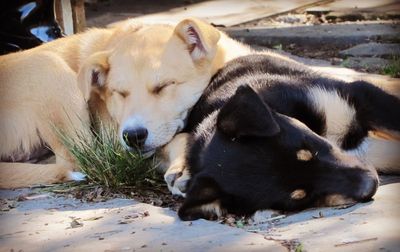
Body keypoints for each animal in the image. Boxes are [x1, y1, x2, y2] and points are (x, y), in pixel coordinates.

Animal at [0, 17, 250, 188]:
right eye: (119, 93)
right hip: (51, 69)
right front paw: (184, 165)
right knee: (77, 161)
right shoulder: (115, 141)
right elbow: (178, 138)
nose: (133, 136)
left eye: (163, 86)